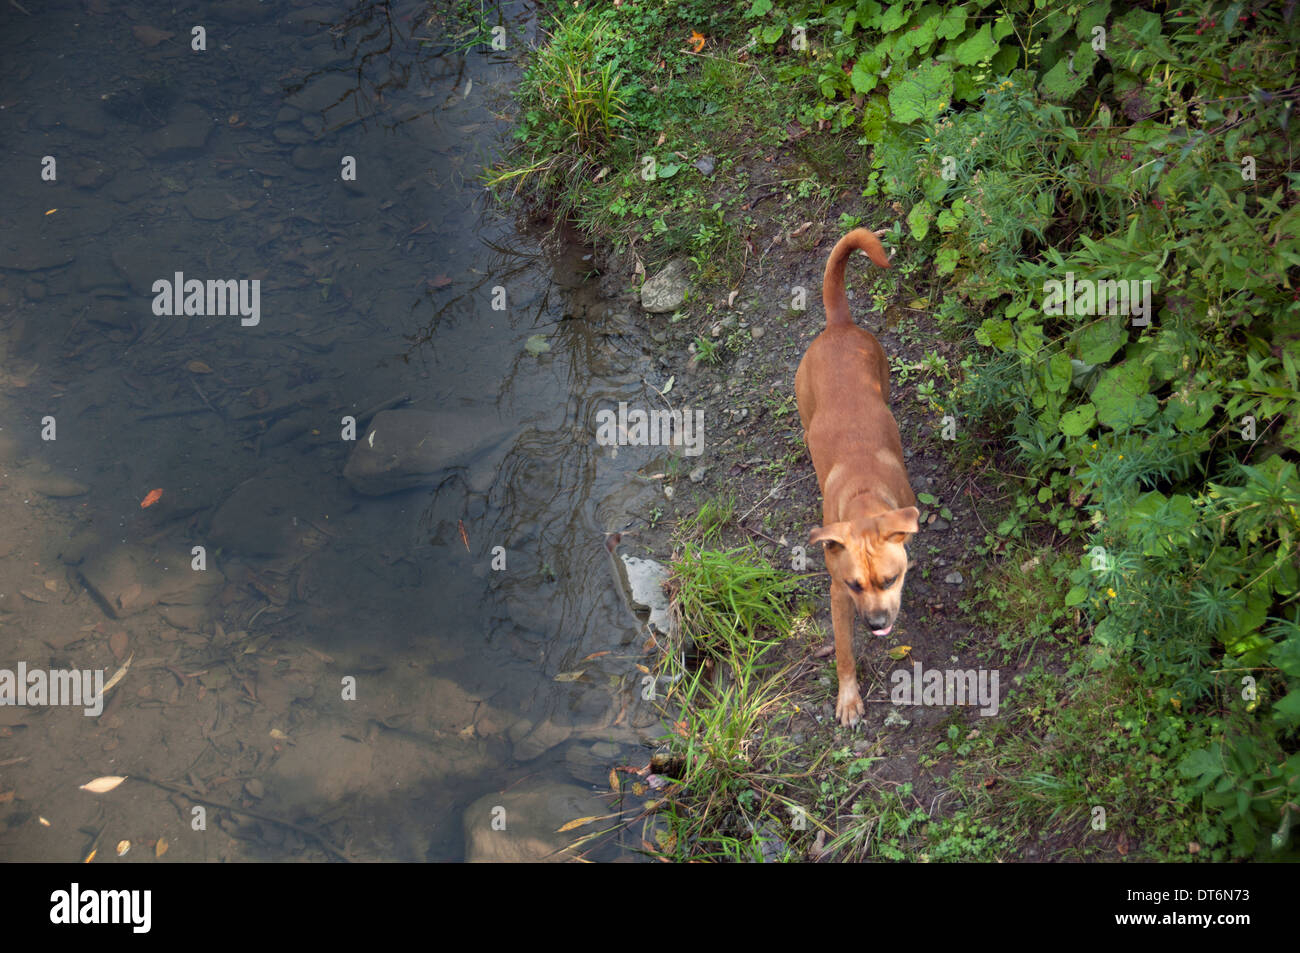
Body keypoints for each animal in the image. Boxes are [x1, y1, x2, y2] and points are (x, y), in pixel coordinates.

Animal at [790, 226, 925, 722]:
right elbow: (844, 652)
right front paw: (848, 698)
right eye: (855, 585)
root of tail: (838, 325)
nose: (878, 624)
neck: (866, 499)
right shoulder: (837, 596)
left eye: (890, 580)